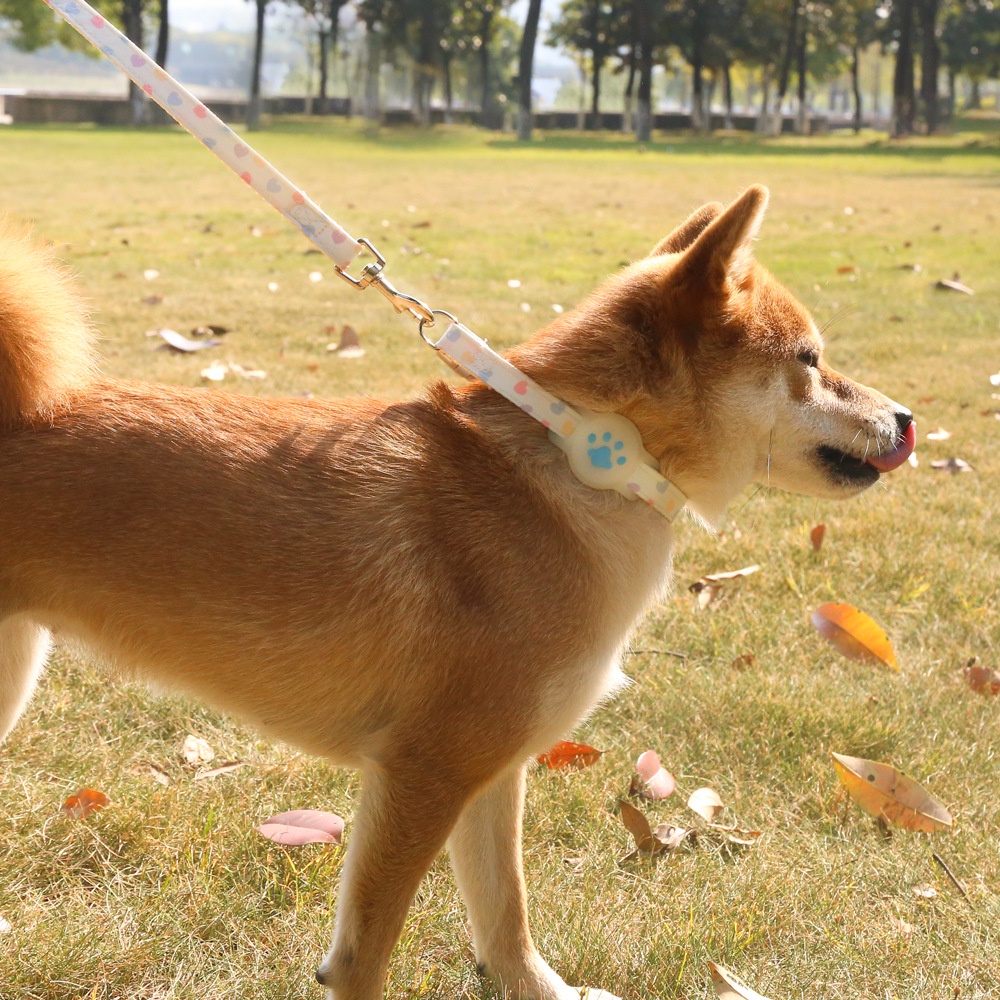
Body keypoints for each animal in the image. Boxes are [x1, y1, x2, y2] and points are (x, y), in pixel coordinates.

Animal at [0, 189, 916, 1000]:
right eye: (809, 360)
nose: (907, 419)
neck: (580, 453)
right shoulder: (425, 771)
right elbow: (366, 958)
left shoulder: (493, 770)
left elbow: (505, 918)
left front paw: (544, 991)